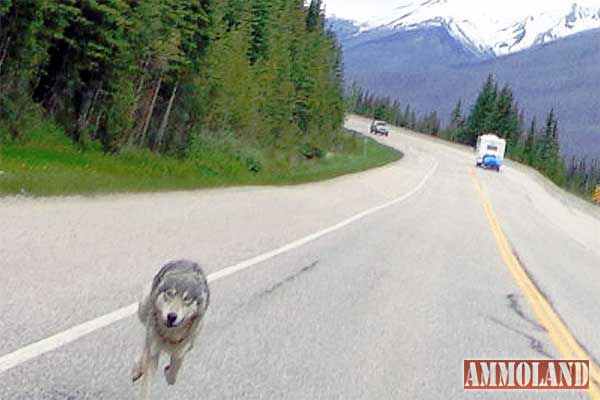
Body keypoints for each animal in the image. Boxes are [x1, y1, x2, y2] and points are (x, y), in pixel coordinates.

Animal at [132, 260, 210, 400]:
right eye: (169, 294)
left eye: (187, 299)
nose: (172, 316)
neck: (170, 334)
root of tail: (189, 260)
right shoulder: (153, 354)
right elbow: (146, 388)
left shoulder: (180, 352)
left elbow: (173, 375)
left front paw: (167, 371)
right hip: (143, 308)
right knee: (145, 343)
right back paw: (137, 368)